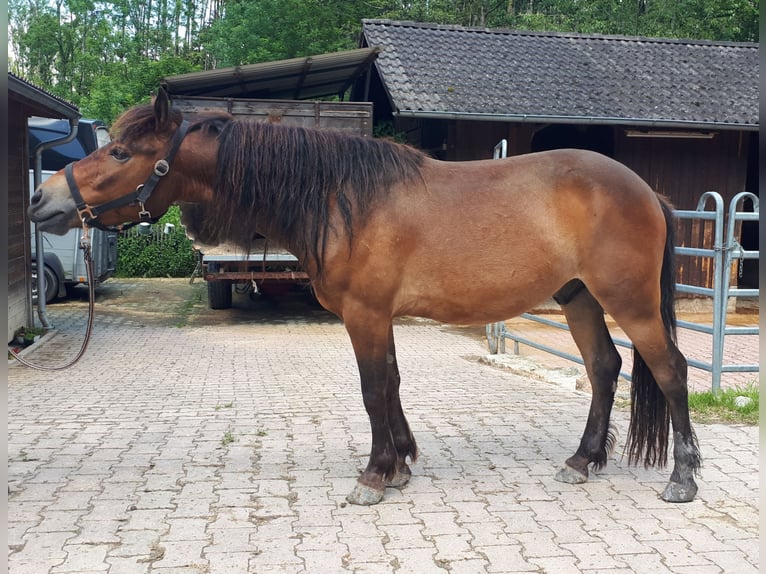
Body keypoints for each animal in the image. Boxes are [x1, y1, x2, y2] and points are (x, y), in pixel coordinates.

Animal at [28, 88, 704, 506]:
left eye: (119, 151)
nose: (42, 200)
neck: (340, 197)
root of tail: (645, 190)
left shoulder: (365, 314)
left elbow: (373, 388)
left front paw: (375, 476)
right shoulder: (380, 317)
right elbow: (393, 383)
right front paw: (400, 464)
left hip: (630, 303)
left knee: (671, 371)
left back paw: (682, 478)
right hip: (579, 297)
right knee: (604, 368)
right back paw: (582, 461)